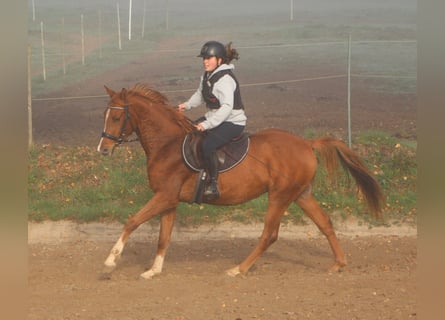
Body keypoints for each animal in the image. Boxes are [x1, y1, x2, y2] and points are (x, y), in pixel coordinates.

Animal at [99, 83, 384, 280]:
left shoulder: (164, 196)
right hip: (301, 194)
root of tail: (306, 143)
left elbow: (132, 221)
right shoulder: (169, 200)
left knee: (269, 234)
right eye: (105, 115)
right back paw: (338, 263)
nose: (103, 149)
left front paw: (111, 261)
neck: (167, 144)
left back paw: (239, 269)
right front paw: (153, 270)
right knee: (325, 223)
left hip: (279, 196)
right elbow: (163, 237)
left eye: (116, 118)